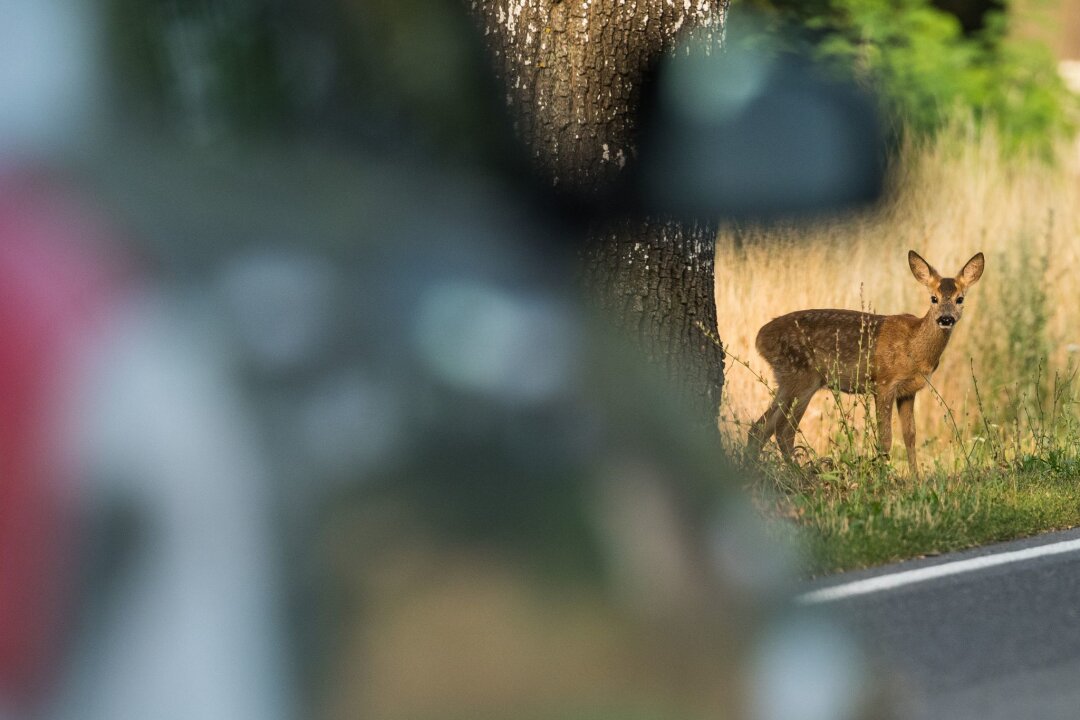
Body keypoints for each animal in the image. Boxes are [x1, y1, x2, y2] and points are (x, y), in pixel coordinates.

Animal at [747, 250, 984, 474]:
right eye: (933, 298)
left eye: (960, 299)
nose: (946, 319)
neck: (914, 348)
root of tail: (760, 337)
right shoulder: (884, 383)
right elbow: (885, 440)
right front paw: (883, 477)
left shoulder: (908, 391)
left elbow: (910, 436)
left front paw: (915, 480)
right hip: (802, 378)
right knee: (783, 431)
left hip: (787, 380)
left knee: (761, 428)